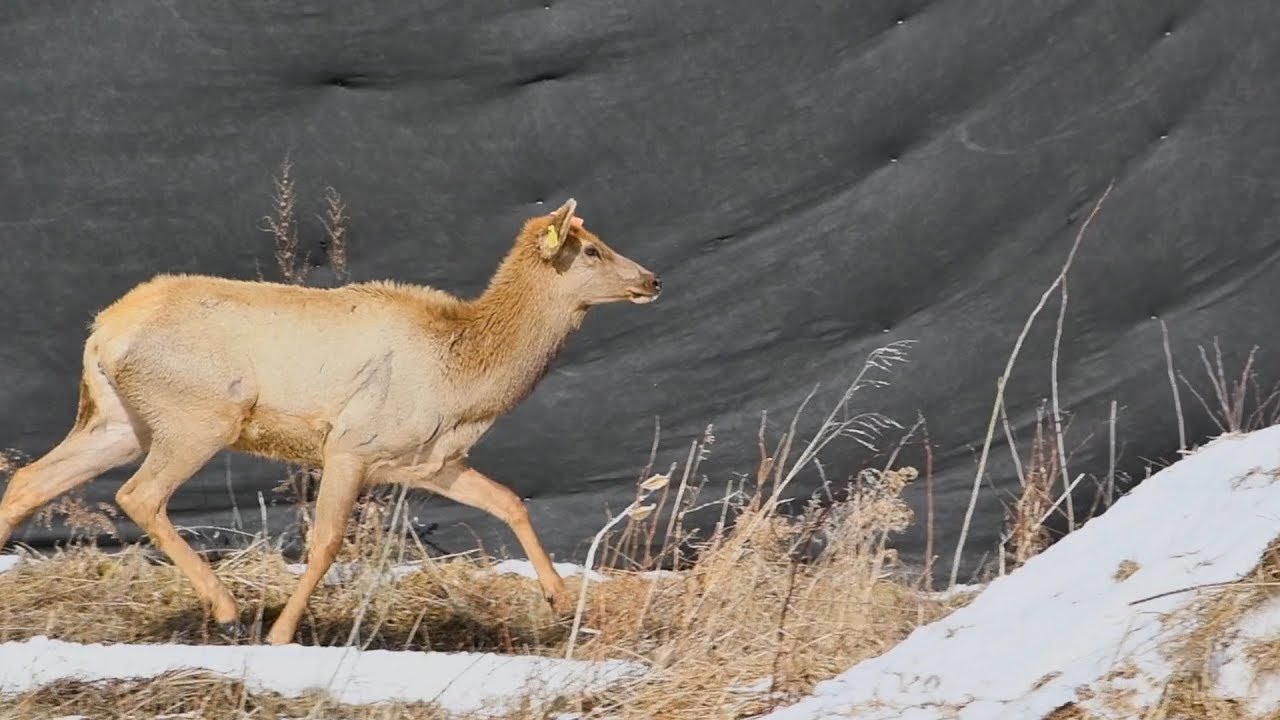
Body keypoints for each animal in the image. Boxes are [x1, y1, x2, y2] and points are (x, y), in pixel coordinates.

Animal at [0, 198, 661, 645]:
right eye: (592, 249)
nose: (651, 279)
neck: (463, 379)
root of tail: (104, 331)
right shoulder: (351, 443)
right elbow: (324, 542)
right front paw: (282, 633)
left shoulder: (429, 461)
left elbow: (509, 501)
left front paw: (559, 599)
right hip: (199, 414)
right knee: (139, 495)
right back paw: (228, 609)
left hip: (120, 422)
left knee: (30, 480)